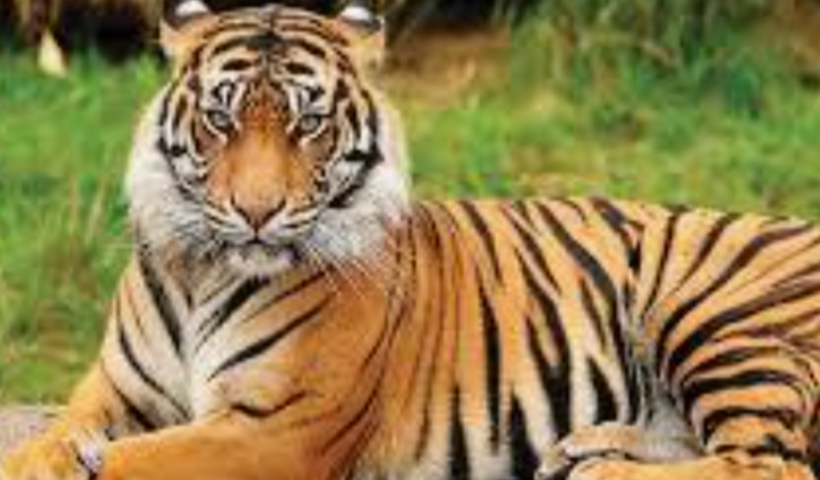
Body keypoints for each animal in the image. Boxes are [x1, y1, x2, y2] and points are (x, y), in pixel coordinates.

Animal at [2, 2, 820, 480]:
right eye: (221, 118)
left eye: (308, 123)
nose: (256, 211)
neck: (203, 270)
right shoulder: (112, 391)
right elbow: (44, 444)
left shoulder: (275, 429)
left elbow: (128, 463)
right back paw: (583, 447)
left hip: (712, 314)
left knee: (767, 463)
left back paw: (601, 471)